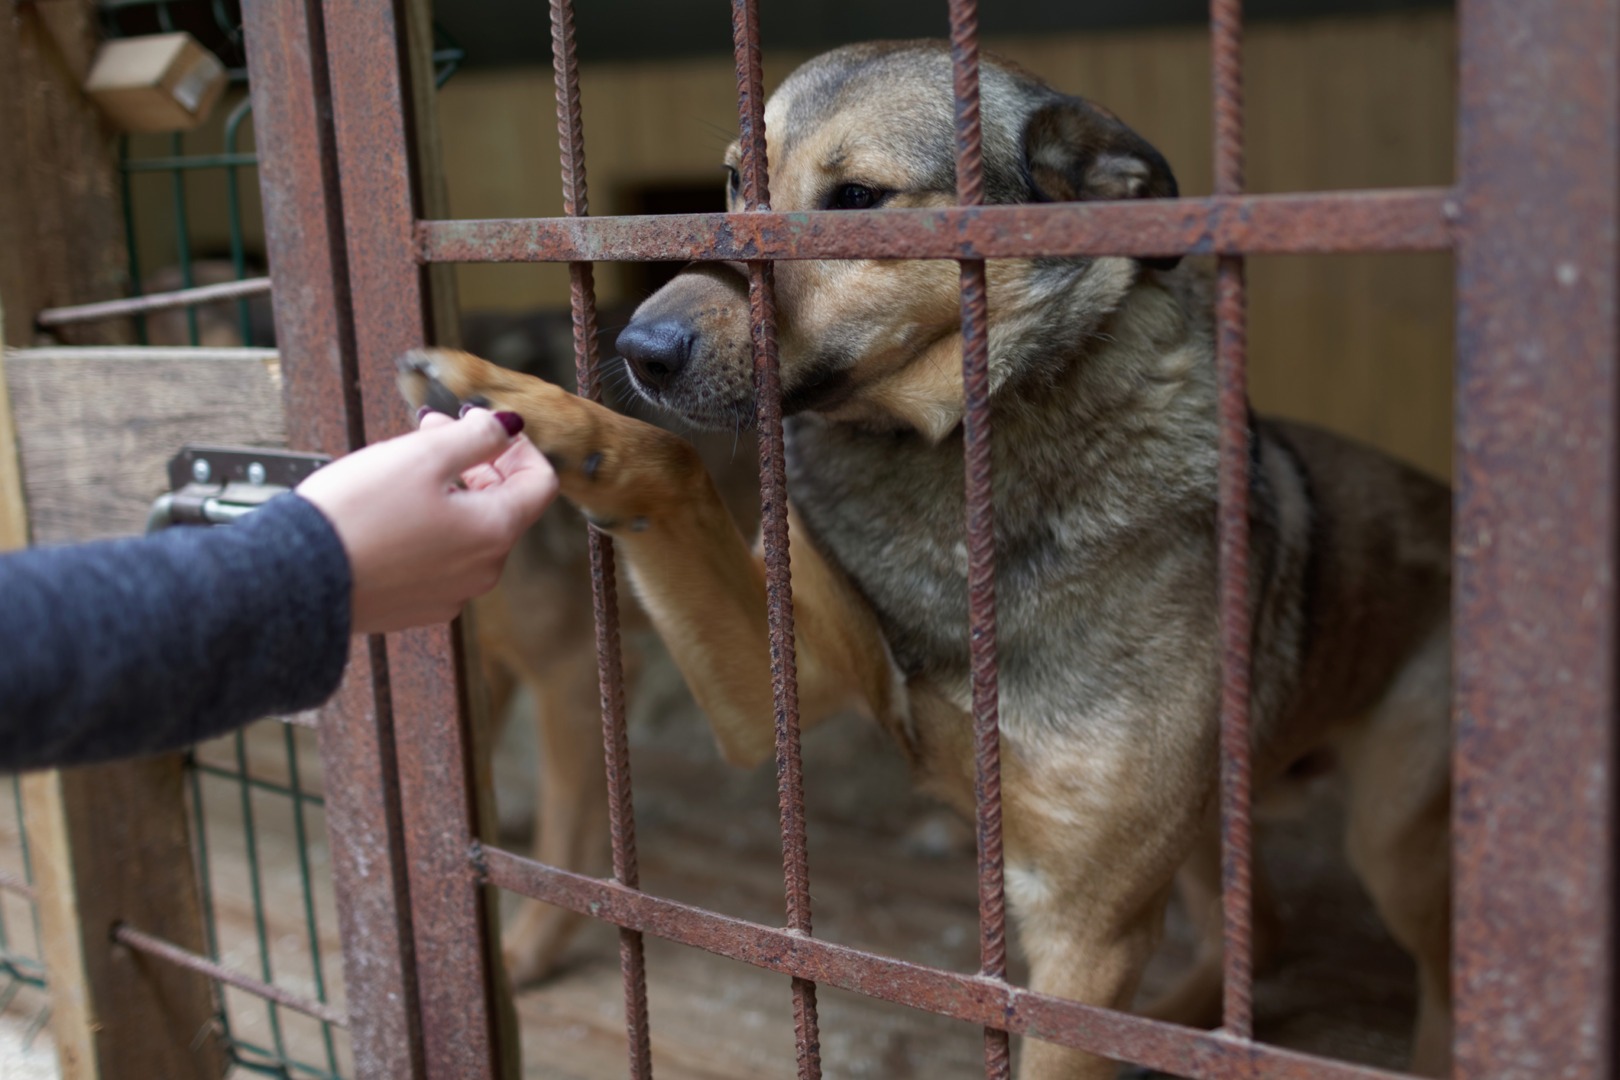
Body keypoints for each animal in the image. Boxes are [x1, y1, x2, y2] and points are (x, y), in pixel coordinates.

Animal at [395, 42, 1458, 1080]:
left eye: (857, 199)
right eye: (732, 183)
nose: (638, 349)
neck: (944, 468)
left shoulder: (1082, 931)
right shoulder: (777, 690)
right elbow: (672, 460)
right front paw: (517, 402)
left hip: (1394, 846)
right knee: (1256, 939)